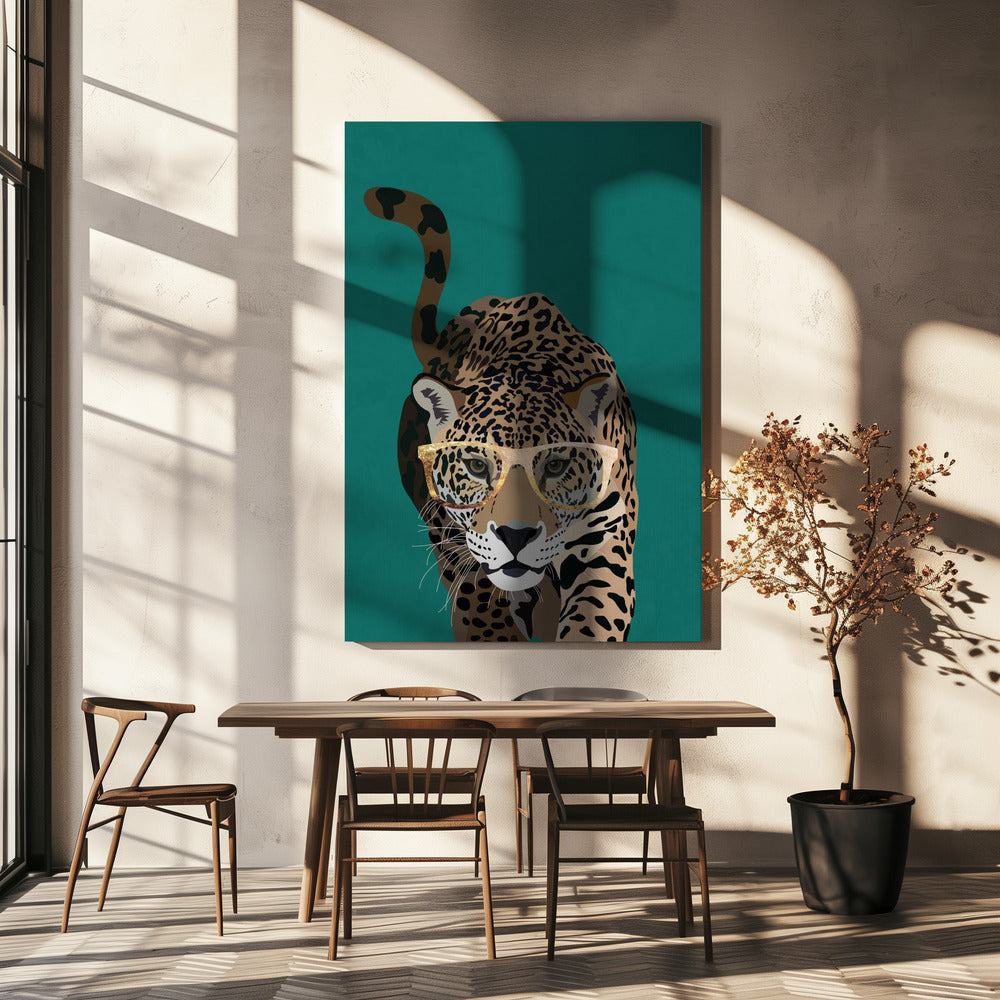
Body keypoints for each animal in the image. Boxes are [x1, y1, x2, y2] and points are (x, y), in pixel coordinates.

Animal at [363, 186, 637, 641]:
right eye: (476, 465)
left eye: (557, 465)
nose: (516, 535)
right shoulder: (459, 543)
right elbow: (482, 605)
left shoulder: (605, 541)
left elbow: (594, 620)